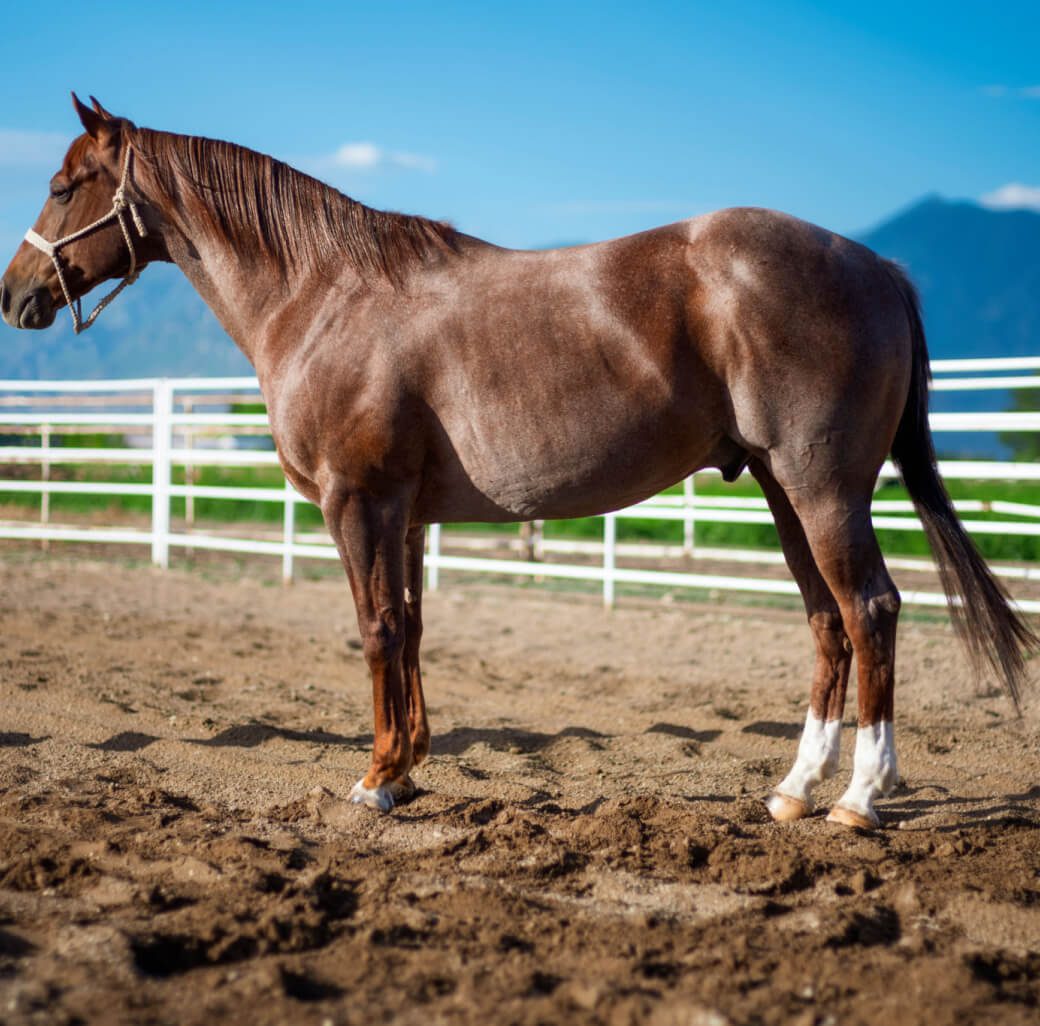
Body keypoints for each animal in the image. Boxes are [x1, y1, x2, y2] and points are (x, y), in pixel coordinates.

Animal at [2, 95, 1034, 828]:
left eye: (61, 184)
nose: (16, 296)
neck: (327, 296)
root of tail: (878, 267)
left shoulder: (358, 502)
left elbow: (376, 629)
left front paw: (374, 781)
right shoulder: (407, 512)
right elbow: (413, 630)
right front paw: (408, 771)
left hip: (824, 489)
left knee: (871, 610)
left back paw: (860, 800)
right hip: (783, 490)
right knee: (828, 623)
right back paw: (792, 790)